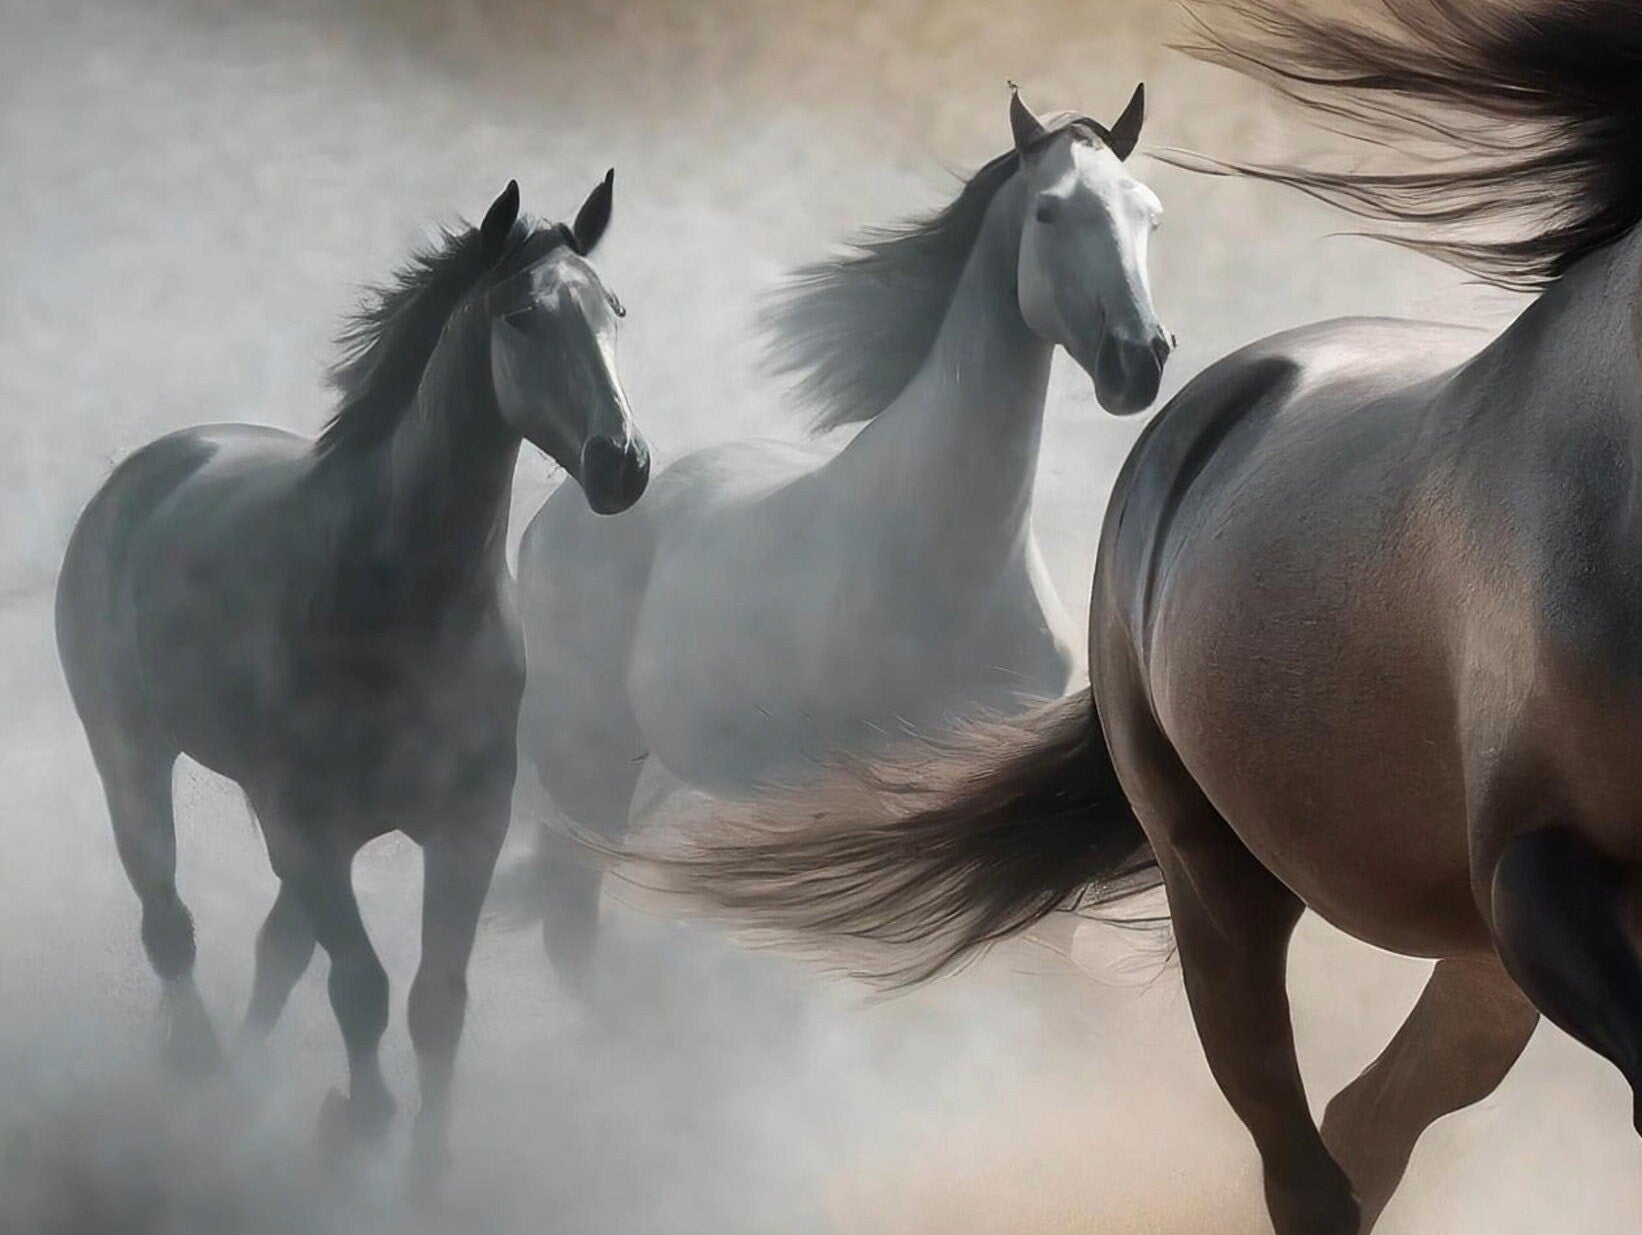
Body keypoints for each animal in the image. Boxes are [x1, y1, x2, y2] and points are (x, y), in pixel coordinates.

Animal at [54, 174, 649, 1169]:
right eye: (522, 315)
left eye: (615, 309)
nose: (622, 464)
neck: (395, 600)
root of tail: (144, 473)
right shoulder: (308, 826)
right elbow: (361, 988)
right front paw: (362, 1120)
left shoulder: (466, 827)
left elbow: (434, 1002)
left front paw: (427, 1166)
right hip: (130, 752)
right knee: (169, 920)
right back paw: (201, 1069)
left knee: (276, 948)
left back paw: (244, 1074)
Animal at [511, 86, 1173, 988]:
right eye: (1049, 210)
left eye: (1149, 215)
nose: (1138, 361)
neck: (948, 560)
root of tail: (565, 513)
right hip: (589, 764)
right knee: (571, 928)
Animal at [645, 2, 1642, 1230]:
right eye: (1048, 211)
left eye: (1152, 216)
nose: (1136, 359)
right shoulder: (1543, 878)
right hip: (1219, 879)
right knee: (1300, 1149)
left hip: (1472, 960)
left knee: (1370, 1122)